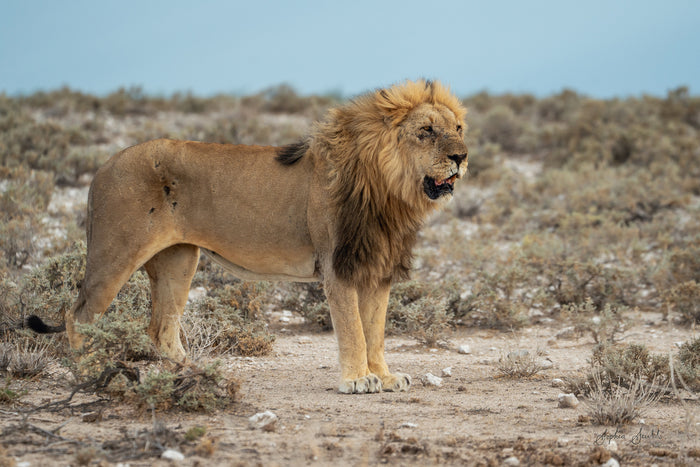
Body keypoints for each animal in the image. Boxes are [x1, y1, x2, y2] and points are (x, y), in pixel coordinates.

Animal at [29, 80, 468, 394]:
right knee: (78, 315)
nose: (461, 156)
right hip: (115, 252)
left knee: (161, 330)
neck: (391, 190)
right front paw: (358, 380)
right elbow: (354, 331)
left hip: (178, 260)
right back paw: (94, 375)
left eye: (458, 128)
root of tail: (104, 165)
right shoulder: (338, 266)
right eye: (426, 131)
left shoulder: (376, 268)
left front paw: (386, 376)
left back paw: (195, 376)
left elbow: (375, 331)